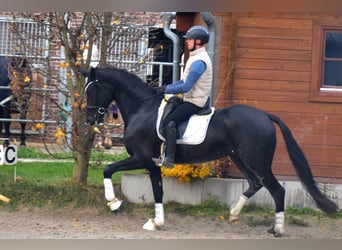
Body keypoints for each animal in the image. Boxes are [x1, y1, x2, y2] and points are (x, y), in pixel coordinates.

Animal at [81, 66, 340, 236]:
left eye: (92, 91)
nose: (89, 119)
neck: (142, 109)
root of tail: (266, 116)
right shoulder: (152, 163)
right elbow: (158, 191)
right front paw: (157, 222)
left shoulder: (141, 158)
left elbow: (108, 169)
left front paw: (113, 203)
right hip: (239, 157)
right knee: (256, 183)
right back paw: (234, 213)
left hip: (258, 161)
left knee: (277, 190)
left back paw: (276, 229)